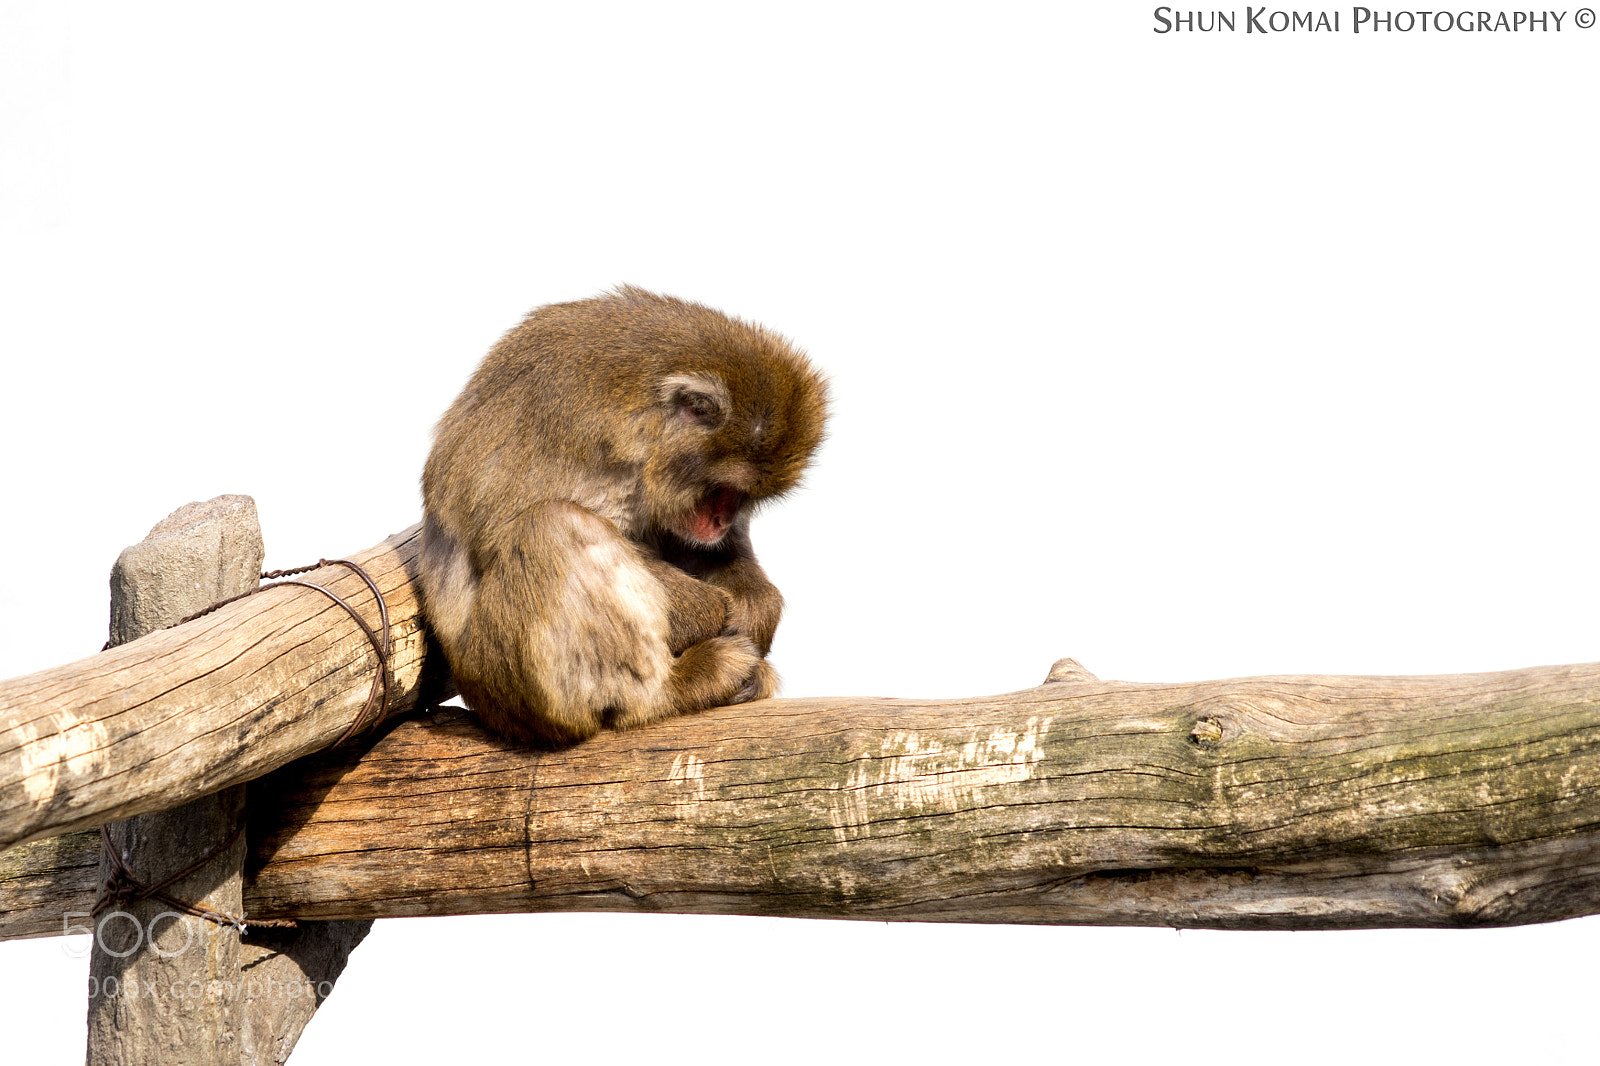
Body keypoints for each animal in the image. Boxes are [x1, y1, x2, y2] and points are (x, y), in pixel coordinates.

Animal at [418, 286, 828, 747]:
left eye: (742, 498)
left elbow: (700, 549)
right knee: (553, 526)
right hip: (505, 687)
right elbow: (502, 529)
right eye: (722, 490)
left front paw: (755, 604)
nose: (721, 521)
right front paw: (711, 610)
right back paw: (671, 690)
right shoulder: (571, 426)